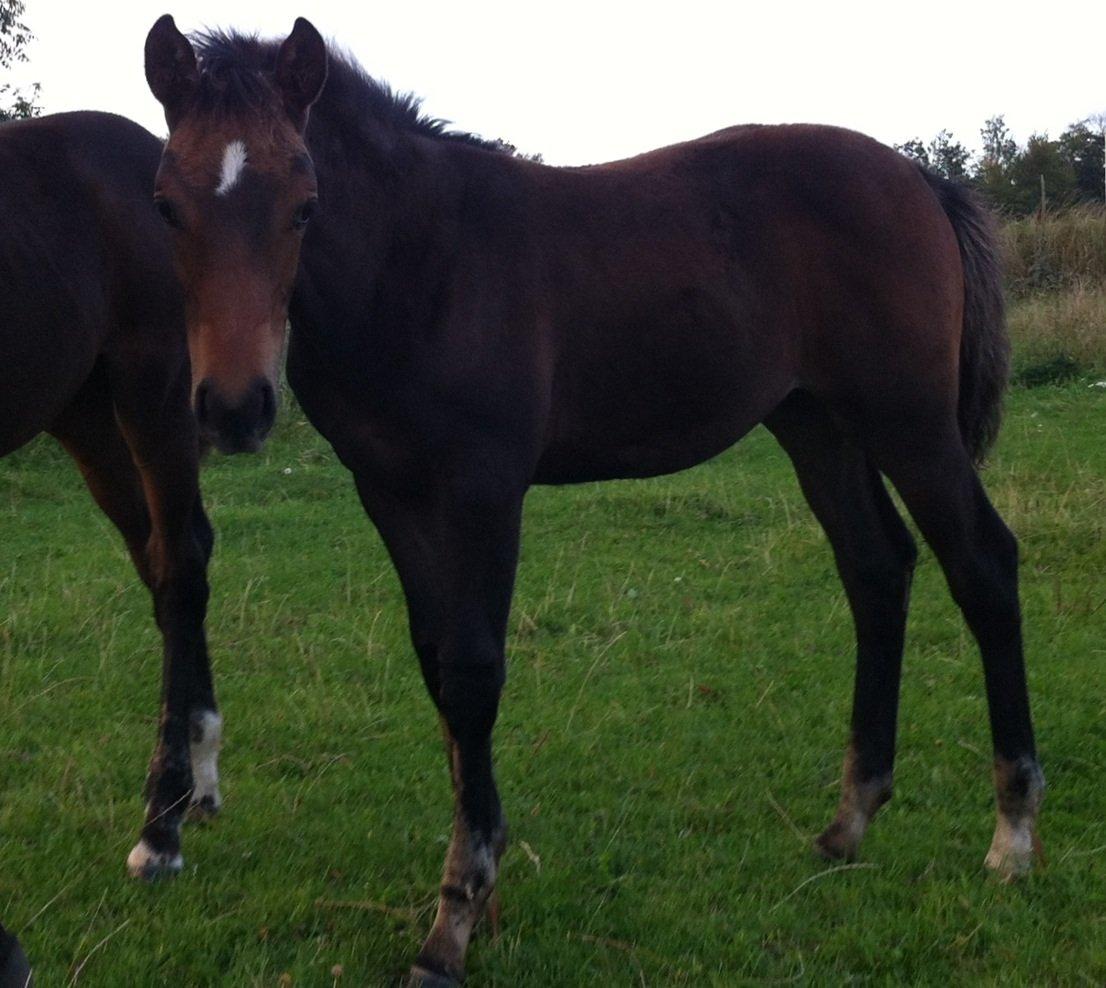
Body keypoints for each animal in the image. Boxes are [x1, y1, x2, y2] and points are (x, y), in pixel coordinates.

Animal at [0, 113, 222, 880]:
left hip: (154, 393)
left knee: (179, 567)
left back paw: (162, 823)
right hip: (88, 417)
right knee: (168, 556)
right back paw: (200, 778)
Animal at [147, 17, 1044, 986]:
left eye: (305, 203)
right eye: (164, 205)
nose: (234, 408)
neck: (423, 262)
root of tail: (920, 179)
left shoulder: (484, 487)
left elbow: (473, 670)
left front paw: (454, 918)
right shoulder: (389, 491)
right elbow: (435, 665)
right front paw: (484, 885)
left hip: (909, 420)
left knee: (983, 564)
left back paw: (1012, 835)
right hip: (817, 423)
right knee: (876, 568)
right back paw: (849, 822)